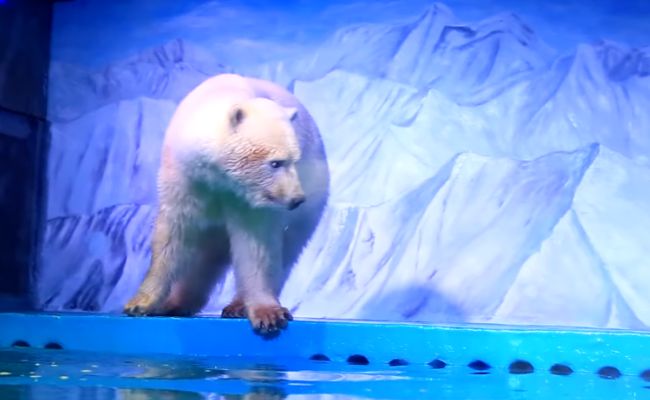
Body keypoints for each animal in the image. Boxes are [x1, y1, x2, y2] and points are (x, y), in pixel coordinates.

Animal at [123, 73, 329, 334]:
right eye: (275, 162)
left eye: (295, 159)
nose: (297, 198)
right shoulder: (184, 179)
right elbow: (172, 236)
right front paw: (141, 303)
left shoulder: (247, 202)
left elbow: (255, 247)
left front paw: (267, 313)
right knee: (205, 256)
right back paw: (177, 302)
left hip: (310, 204)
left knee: (288, 249)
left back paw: (237, 305)